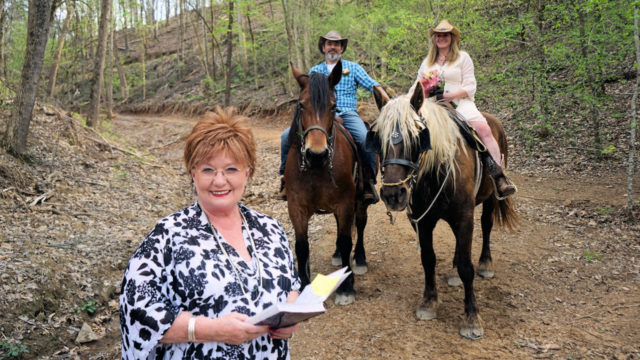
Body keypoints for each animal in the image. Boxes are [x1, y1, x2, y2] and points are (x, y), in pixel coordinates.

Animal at [284, 61, 370, 304]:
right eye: (301, 105)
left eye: (333, 107)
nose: (316, 154)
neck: (317, 170)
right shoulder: (296, 207)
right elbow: (301, 246)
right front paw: (304, 287)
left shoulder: (345, 203)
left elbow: (346, 239)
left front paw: (347, 288)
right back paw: (338, 255)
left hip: (360, 201)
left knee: (360, 224)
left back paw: (359, 259)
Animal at [364, 83, 520, 338]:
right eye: (379, 140)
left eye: (417, 138)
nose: (393, 195)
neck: (434, 173)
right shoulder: (421, 221)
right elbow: (428, 259)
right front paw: (429, 302)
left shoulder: (465, 216)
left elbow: (467, 267)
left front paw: (471, 317)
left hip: (490, 199)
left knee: (487, 226)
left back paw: (485, 264)